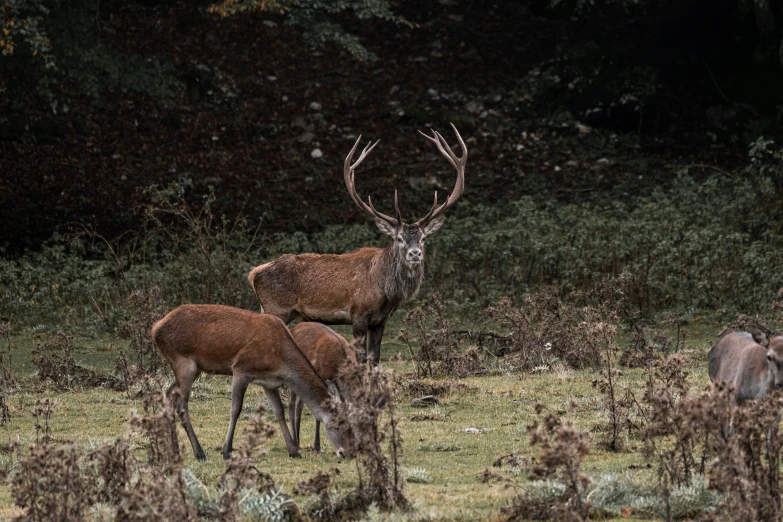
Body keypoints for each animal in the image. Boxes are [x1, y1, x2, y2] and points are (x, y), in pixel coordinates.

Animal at [153, 304, 350, 460]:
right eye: (336, 425)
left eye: (351, 426)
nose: (348, 453)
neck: (280, 360)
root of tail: (155, 328)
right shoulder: (241, 368)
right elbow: (236, 409)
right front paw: (226, 451)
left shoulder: (269, 382)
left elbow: (279, 411)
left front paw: (294, 450)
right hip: (183, 362)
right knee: (181, 404)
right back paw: (198, 452)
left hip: (191, 369)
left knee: (168, 395)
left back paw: (175, 451)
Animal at [251, 124, 468, 364]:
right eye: (399, 238)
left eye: (423, 238)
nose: (415, 253)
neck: (386, 291)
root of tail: (255, 273)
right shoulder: (358, 313)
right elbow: (361, 359)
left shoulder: (381, 320)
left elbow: (375, 359)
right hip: (276, 308)